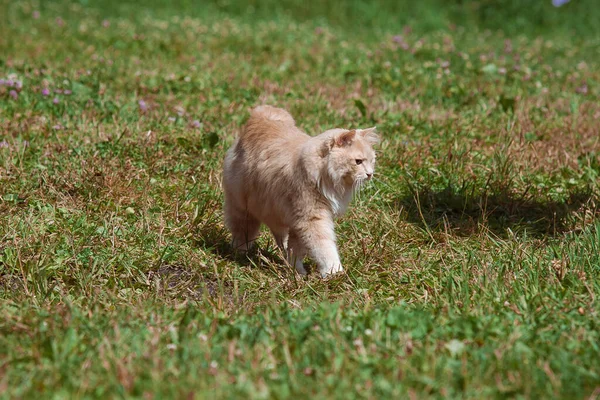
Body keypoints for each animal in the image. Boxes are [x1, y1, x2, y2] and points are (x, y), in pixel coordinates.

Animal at [223, 104, 378, 276]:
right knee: (242, 233)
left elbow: (296, 251)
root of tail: (262, 114)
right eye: (358, 162)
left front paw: (297, 272)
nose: (370, 174)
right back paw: (240, 254)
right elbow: (325, 249)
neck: (320, 171)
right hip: (243, 209)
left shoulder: (299, 223)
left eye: (372, 161)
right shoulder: (311, 219)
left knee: (281, 237)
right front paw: (334, 273)